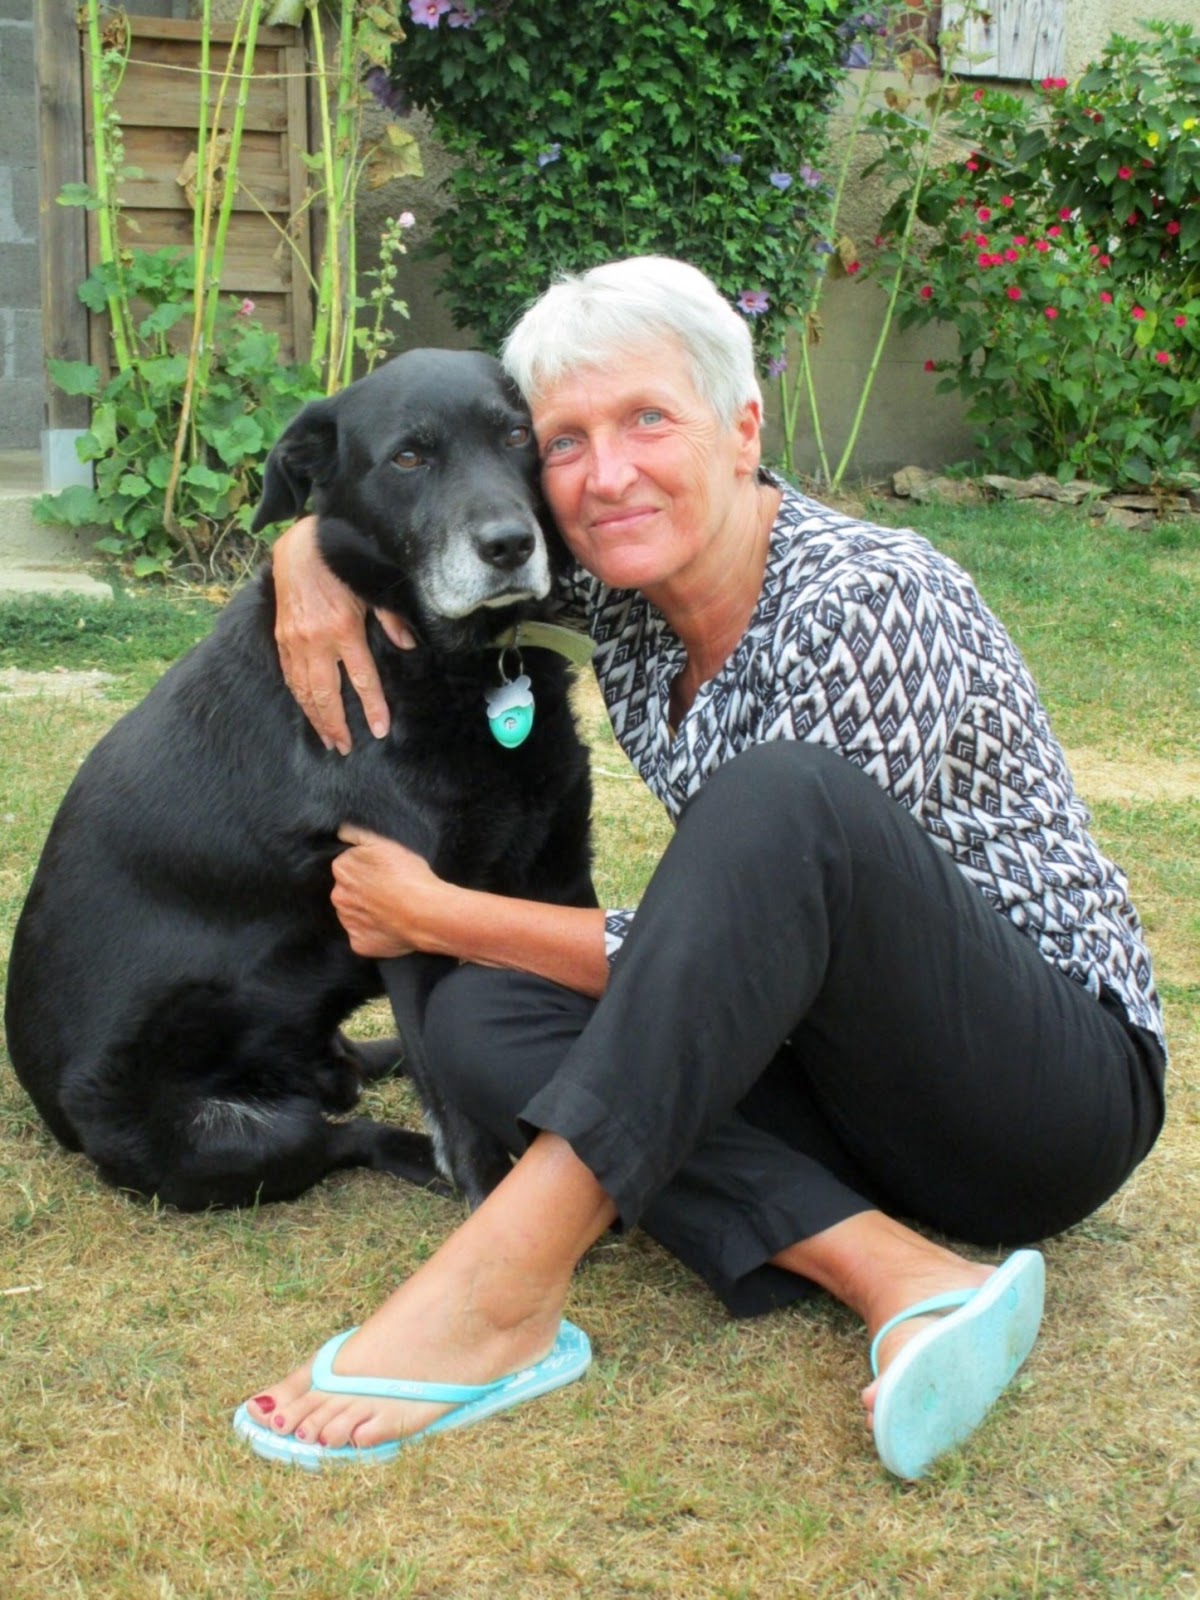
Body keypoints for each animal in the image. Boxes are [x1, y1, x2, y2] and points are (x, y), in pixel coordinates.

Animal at [4, 344, 598, 1203]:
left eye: (518, 435)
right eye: (409, 458)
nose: (510, 545)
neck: (441, 661)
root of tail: (53, 1116)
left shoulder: (558, 874)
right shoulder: (407, 909)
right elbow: (456, 1104)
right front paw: (493, 1193)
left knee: (356, 1074)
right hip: (237, 1140)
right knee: (347, 1135)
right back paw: (414, 1154)